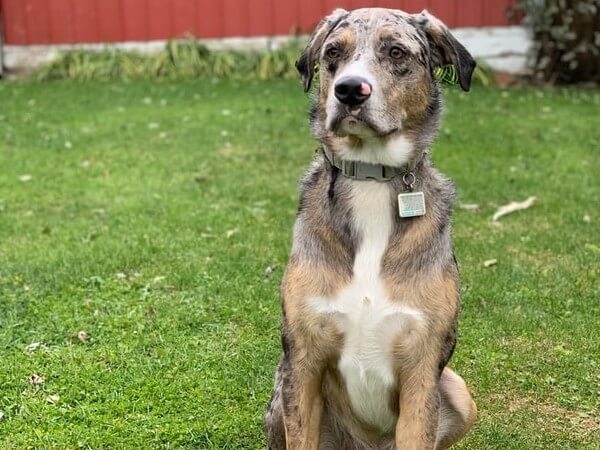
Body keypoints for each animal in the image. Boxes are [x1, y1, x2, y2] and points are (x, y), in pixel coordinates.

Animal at [264, 7, 476, 450]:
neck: (370, 178)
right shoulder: (302, 362)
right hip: (277, 400)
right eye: (332, 52)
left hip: (460, 393)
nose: (349, 90)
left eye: (396, 51)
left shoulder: (422, 370)